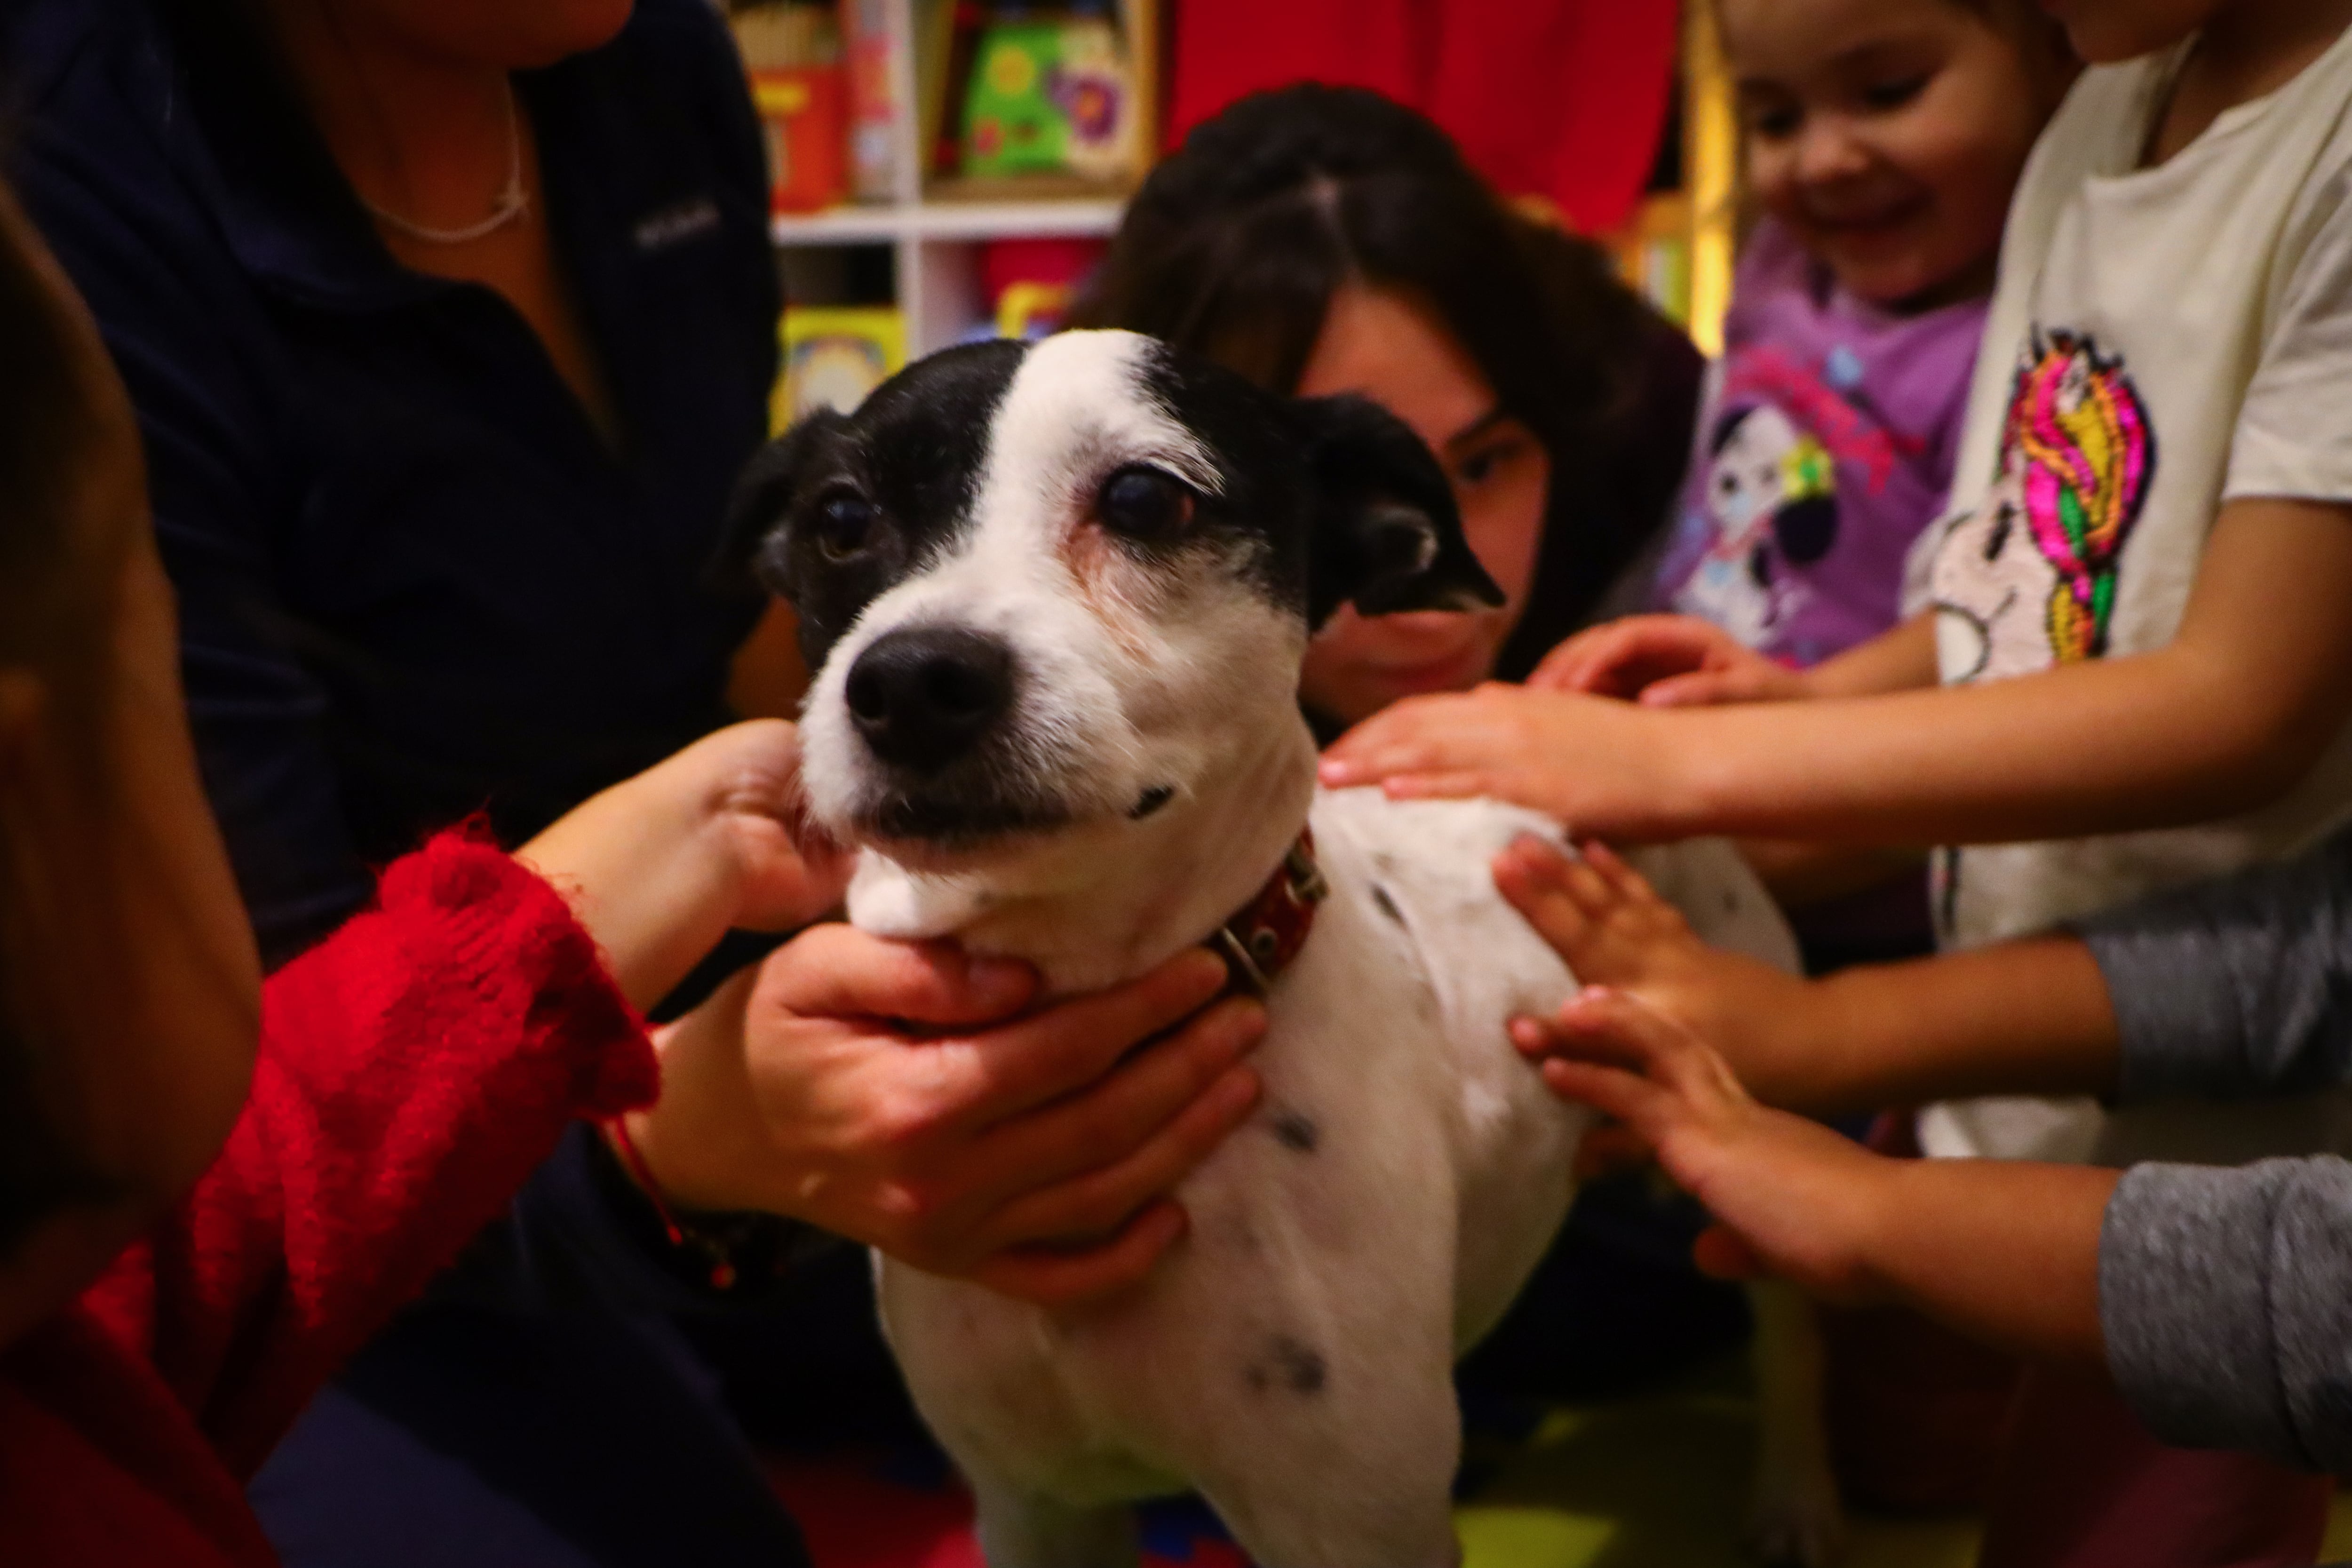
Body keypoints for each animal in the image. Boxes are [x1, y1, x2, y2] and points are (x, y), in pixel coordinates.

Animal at [734, 334, 1816, 1568]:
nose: (912, 680)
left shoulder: (1347, 1519)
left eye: (1146, 498)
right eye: (839, 517)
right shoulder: (1033, 1504)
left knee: (1787, 1323)